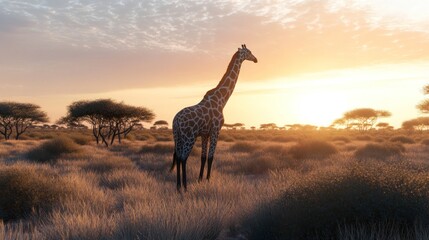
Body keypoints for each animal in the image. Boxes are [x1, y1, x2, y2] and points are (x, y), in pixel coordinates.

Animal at [171, 44, 258, 191]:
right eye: (249, 52)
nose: (256, 59)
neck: (221, 100)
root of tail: (176, 121)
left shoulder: (205, 134)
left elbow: (203, 157)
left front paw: (200, 179)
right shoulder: (216, 130)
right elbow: (211, 157)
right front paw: (207, 179)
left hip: (177, 137)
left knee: (177, 157)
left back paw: (178, 186)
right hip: (189, 137)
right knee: (183, 158)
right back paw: (185, 186)